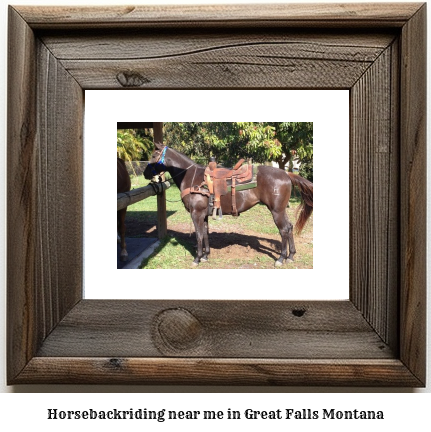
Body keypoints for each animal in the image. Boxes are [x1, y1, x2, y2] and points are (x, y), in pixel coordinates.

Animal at [143, 144, 312, 266]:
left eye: (153, 155)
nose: (145, 174)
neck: (192, 178)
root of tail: (286, 174)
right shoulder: (203, 215)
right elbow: (205, 233)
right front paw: (206, 256)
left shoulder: (196, 214)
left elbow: (198, 235)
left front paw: (197, 258)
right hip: (281, 210)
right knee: (289, 228)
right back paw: (291, 256)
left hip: (276, 211)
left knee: (283, 230)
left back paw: (281, 258)